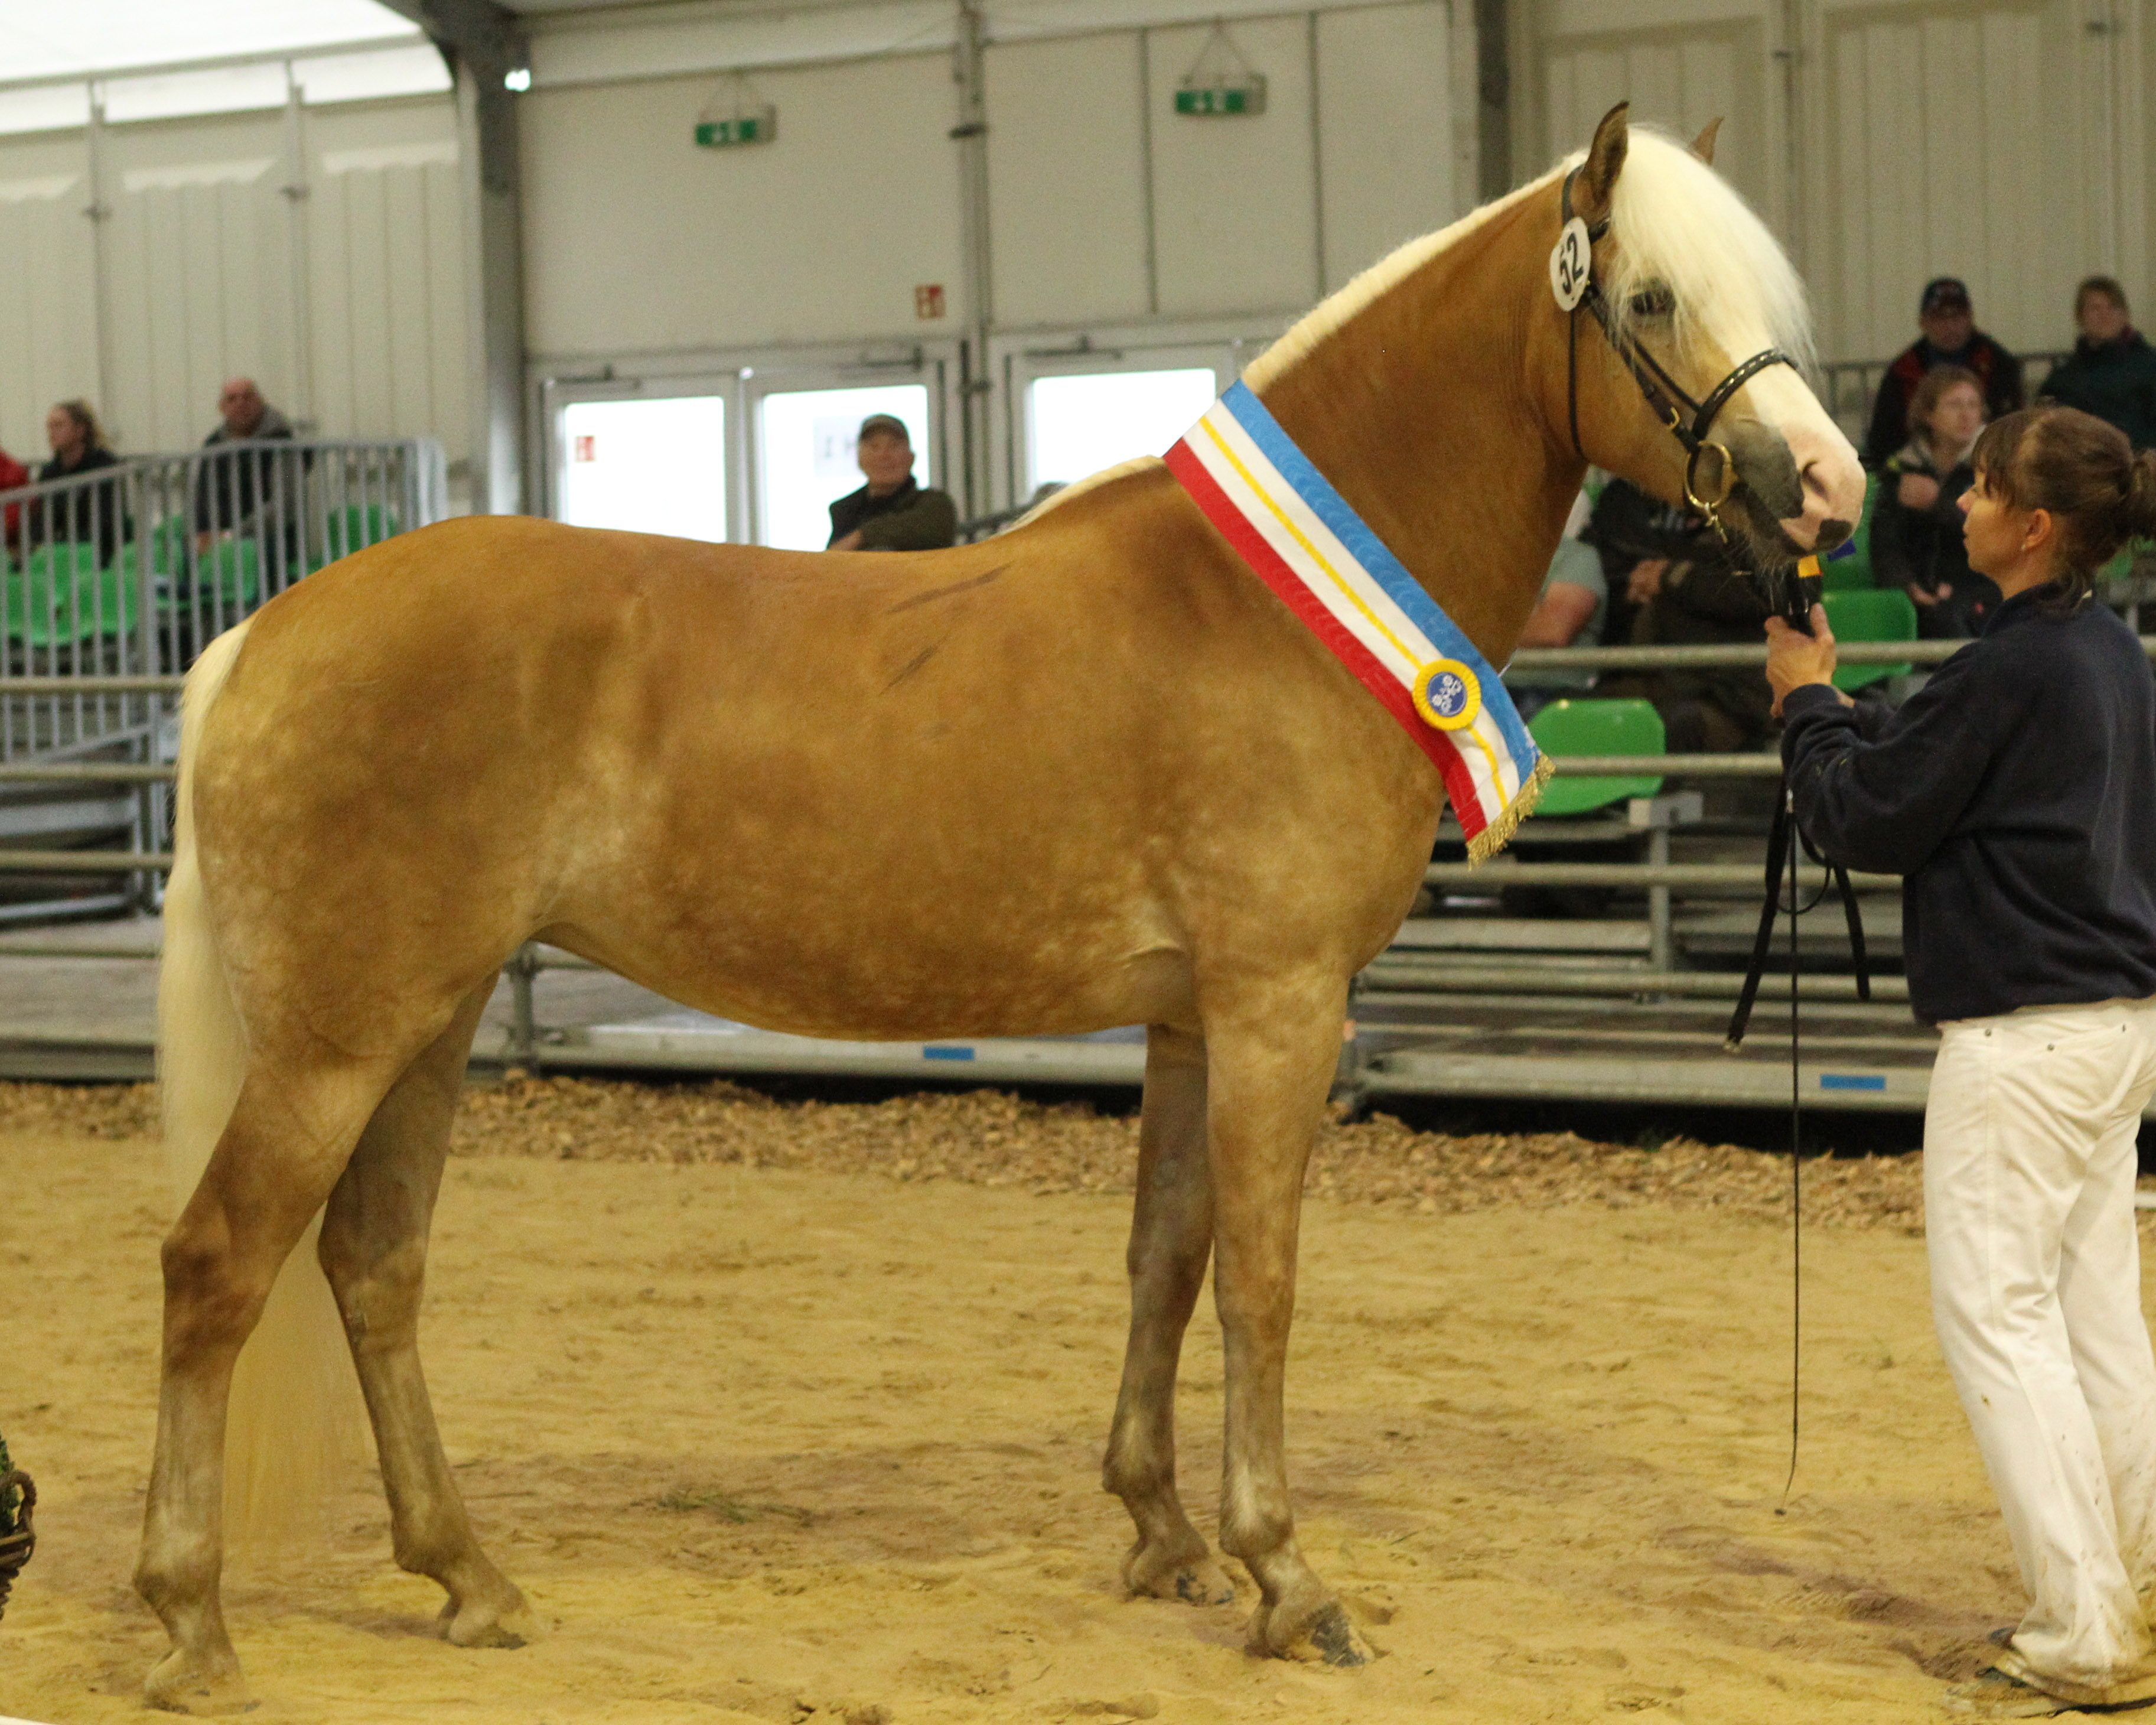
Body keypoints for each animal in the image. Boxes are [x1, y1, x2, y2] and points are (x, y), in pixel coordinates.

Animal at [143, 108, 1862, 1707]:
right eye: (1648, 296)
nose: (1829, 489)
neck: (1267, 608)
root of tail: (261, 636)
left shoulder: (1188, 1020)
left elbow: (1166, 1257)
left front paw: (1163, 1537)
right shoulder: (1280, 1004)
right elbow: (1261, 1279)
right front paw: (1287, 1579)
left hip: (430, 1022)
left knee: (373, 1267)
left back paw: (467, 1578)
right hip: (340, 1037)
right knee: (220, 1264)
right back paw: (193, 1624)